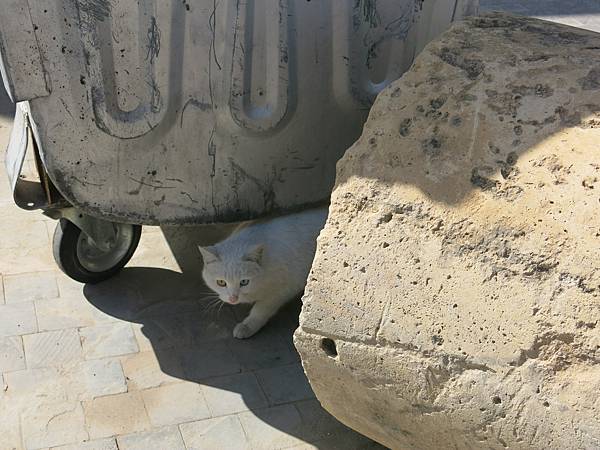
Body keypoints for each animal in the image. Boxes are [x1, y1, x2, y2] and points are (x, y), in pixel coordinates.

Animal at [199, 207, 326, 338]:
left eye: (244, 282)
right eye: (221, 282)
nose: (233, 299)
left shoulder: (282, 290)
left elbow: (260, 309)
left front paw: (247, 326)